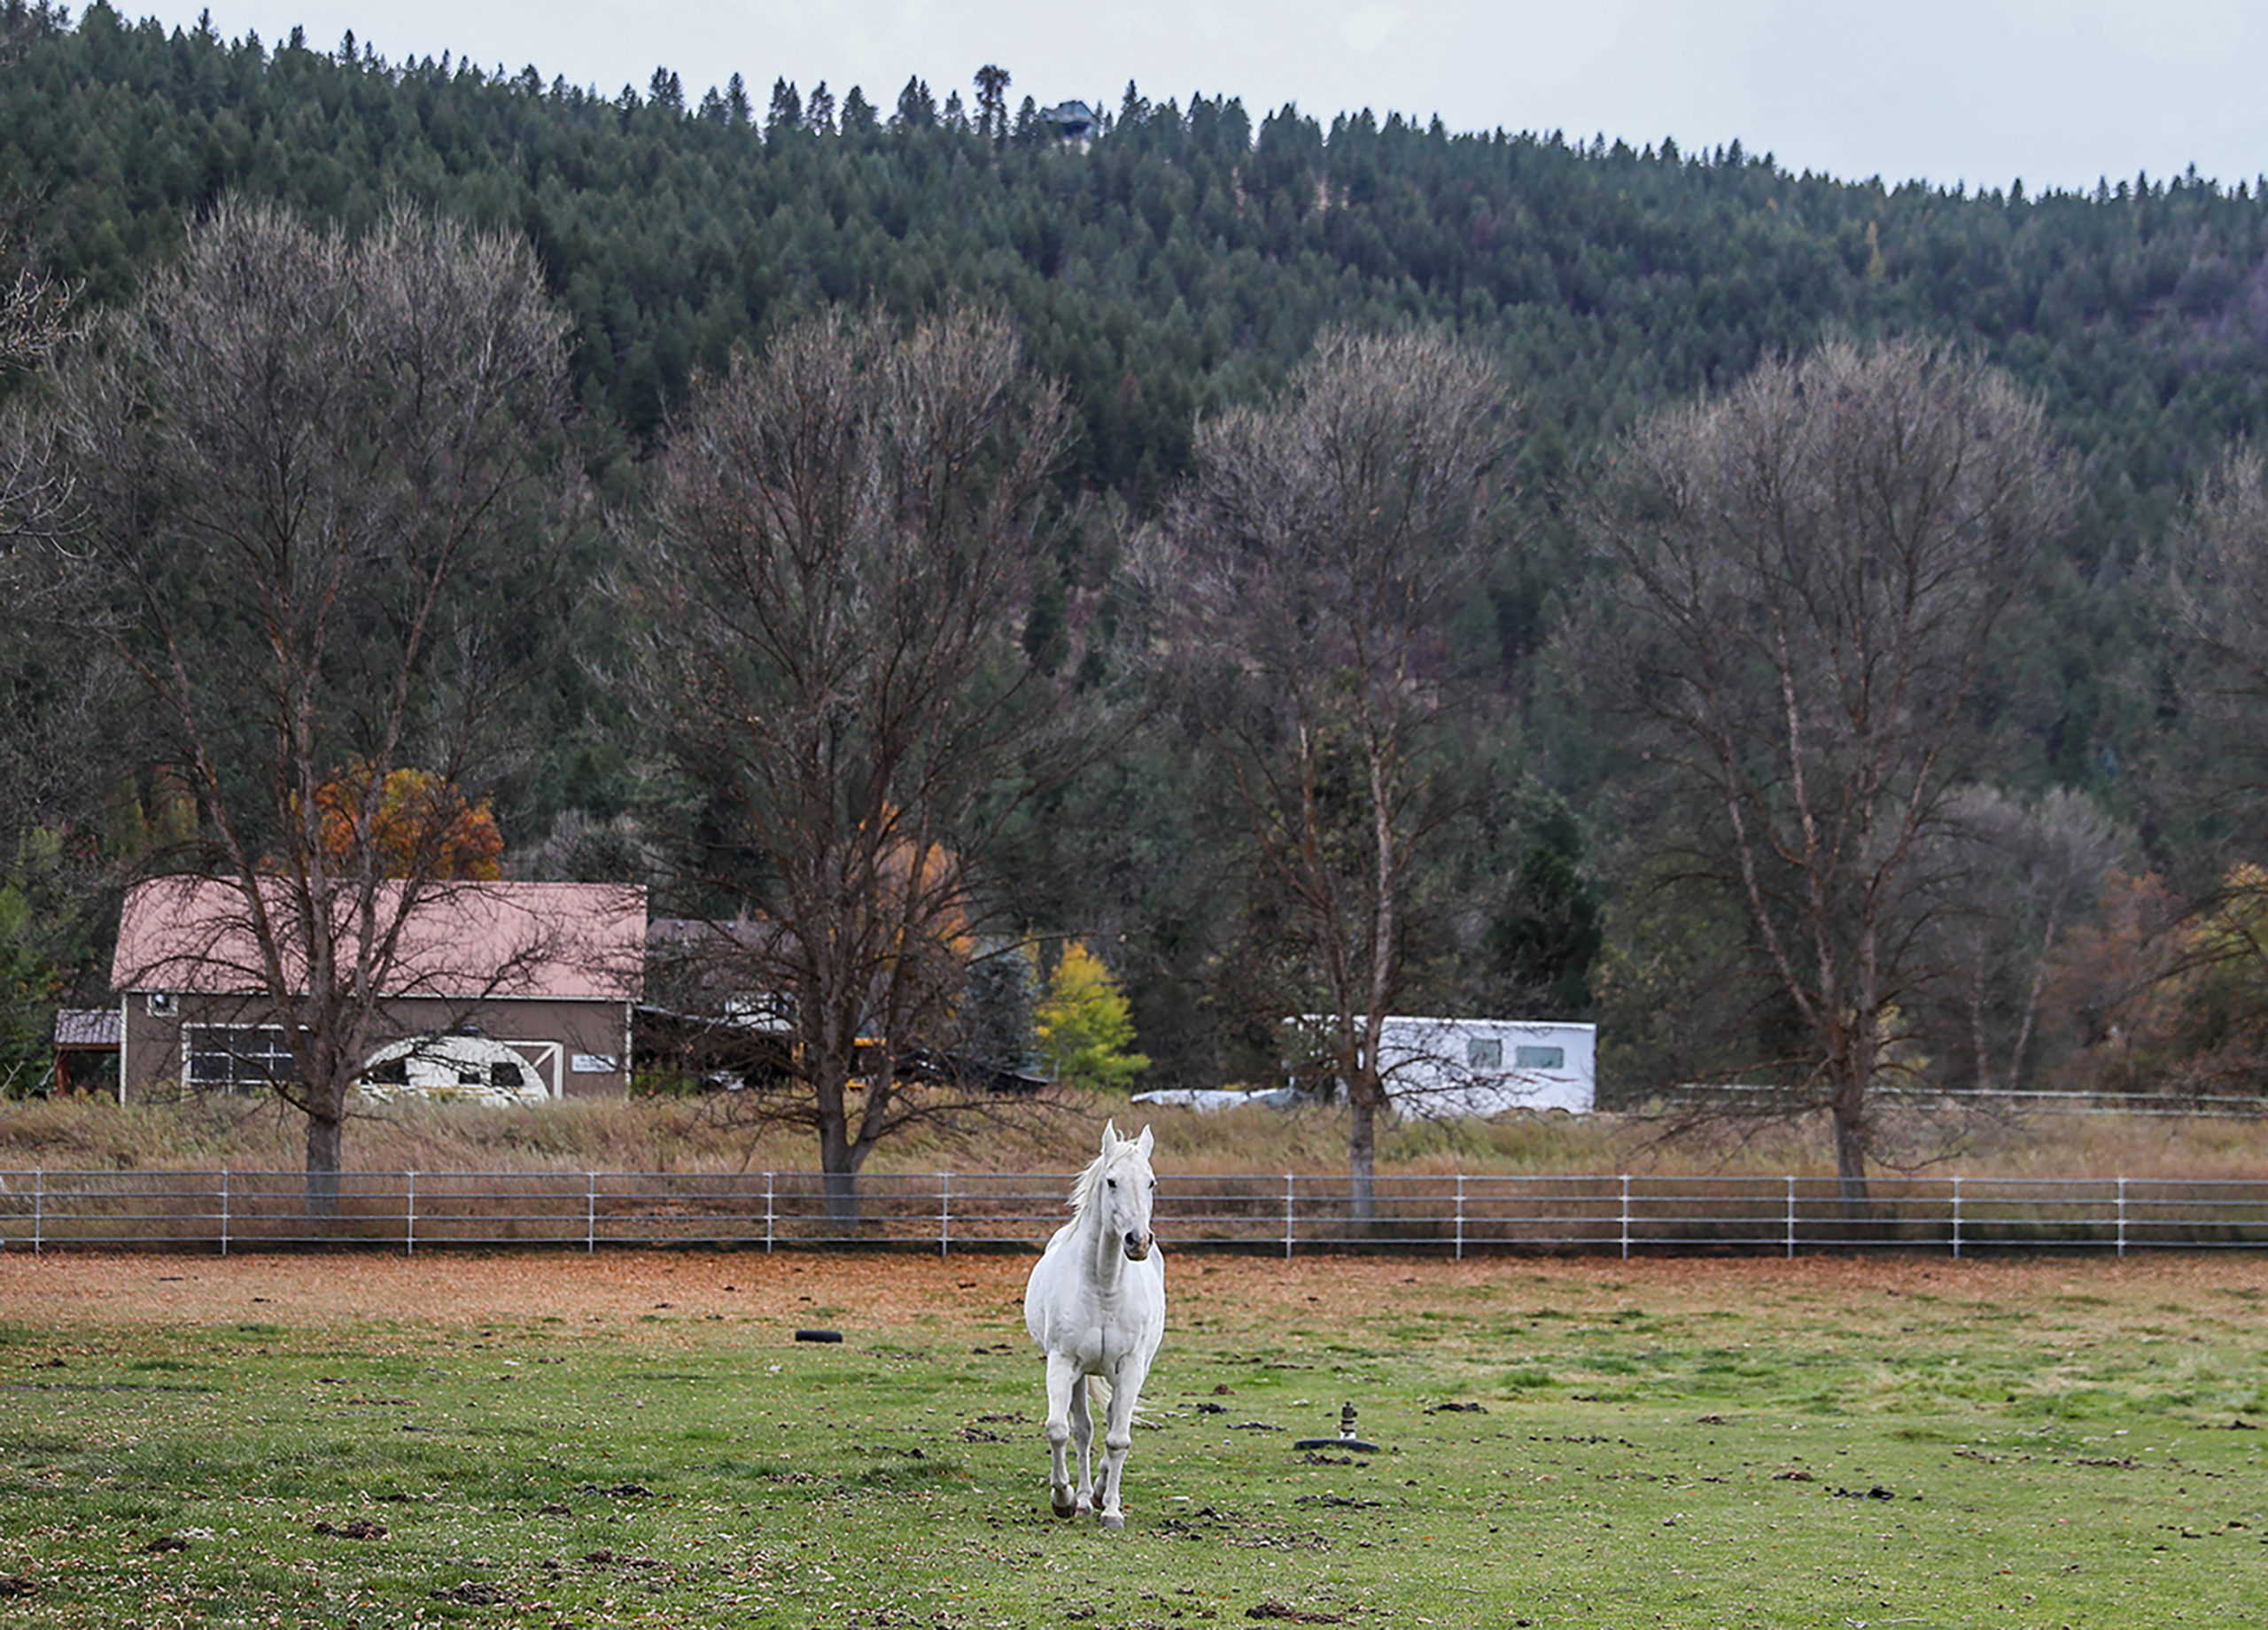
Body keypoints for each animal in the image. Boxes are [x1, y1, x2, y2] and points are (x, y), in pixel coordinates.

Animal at [1029, 1124, 1169, 1532]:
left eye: (1151, 1182)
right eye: (1111, 1181)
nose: (1138, 1241)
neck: (1103, 1286)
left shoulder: (1131, 1366)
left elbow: (1119, 1438)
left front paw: (1112, 1511)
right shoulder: (1062, 1362)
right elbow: (1061, 1430)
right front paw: (1063, 1499)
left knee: (1110, 1423)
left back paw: (1101, 1493)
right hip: (1079, 1375)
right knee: (1083, 1430)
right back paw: (1083, 1498)